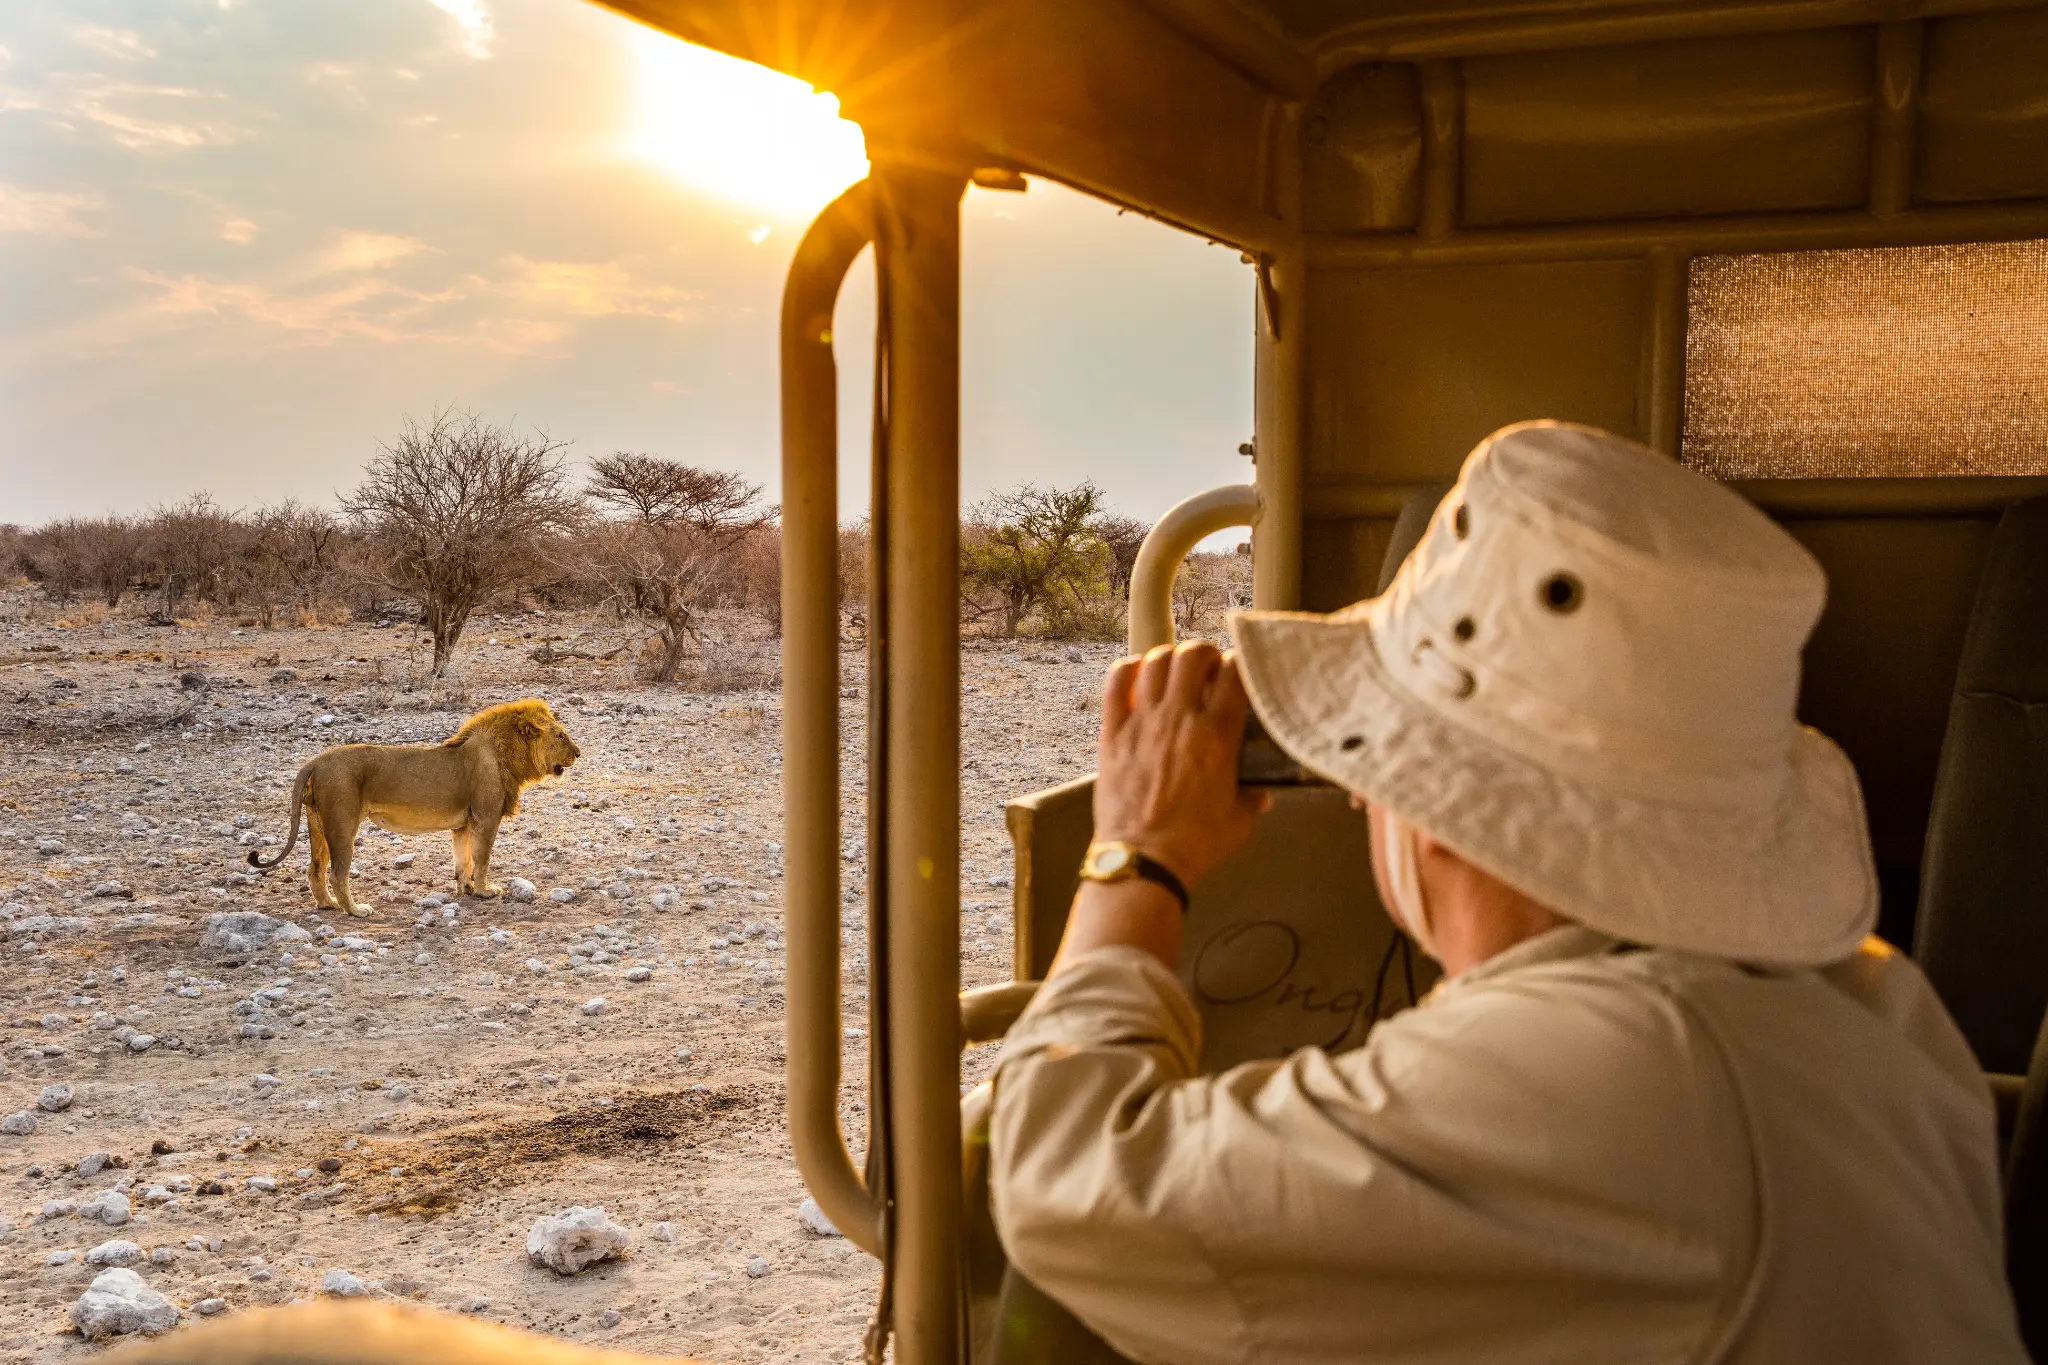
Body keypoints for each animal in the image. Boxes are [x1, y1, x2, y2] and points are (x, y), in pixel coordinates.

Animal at [248, 698, 581, 918]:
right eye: (561, 735)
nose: (578, 753)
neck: (506, 754)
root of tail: (316, 761)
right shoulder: (485, 818)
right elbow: (483, 859)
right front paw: (486, 892)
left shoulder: (463, 824)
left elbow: (464, 860)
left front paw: (467, 890)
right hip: (341, 823)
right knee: (337, 874)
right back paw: (355, 910)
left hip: (317, 822)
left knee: (315, 869)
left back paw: (328, 905)